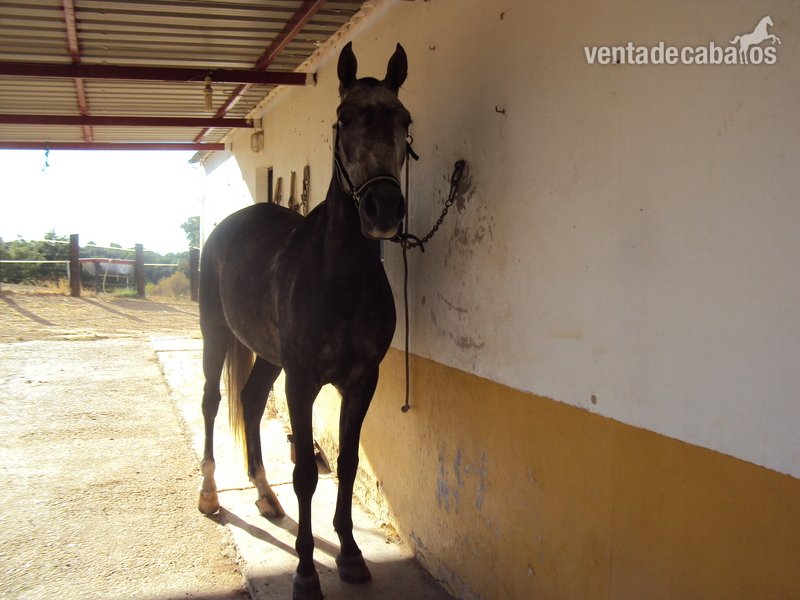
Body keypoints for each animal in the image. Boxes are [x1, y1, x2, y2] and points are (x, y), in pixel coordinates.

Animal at [196, 42, 411, 600]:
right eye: (342, 118)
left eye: (404, 120)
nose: (383, 210)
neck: (341, 275)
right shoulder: (302, 382)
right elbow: (306, 476)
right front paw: (306, 571)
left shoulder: (361, 382)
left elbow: (349, 464)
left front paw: (351, 555)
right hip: (215, 335)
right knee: (212, 403)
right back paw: (209, 494)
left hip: (269, 356)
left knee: (250, 400)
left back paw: (265, 497)